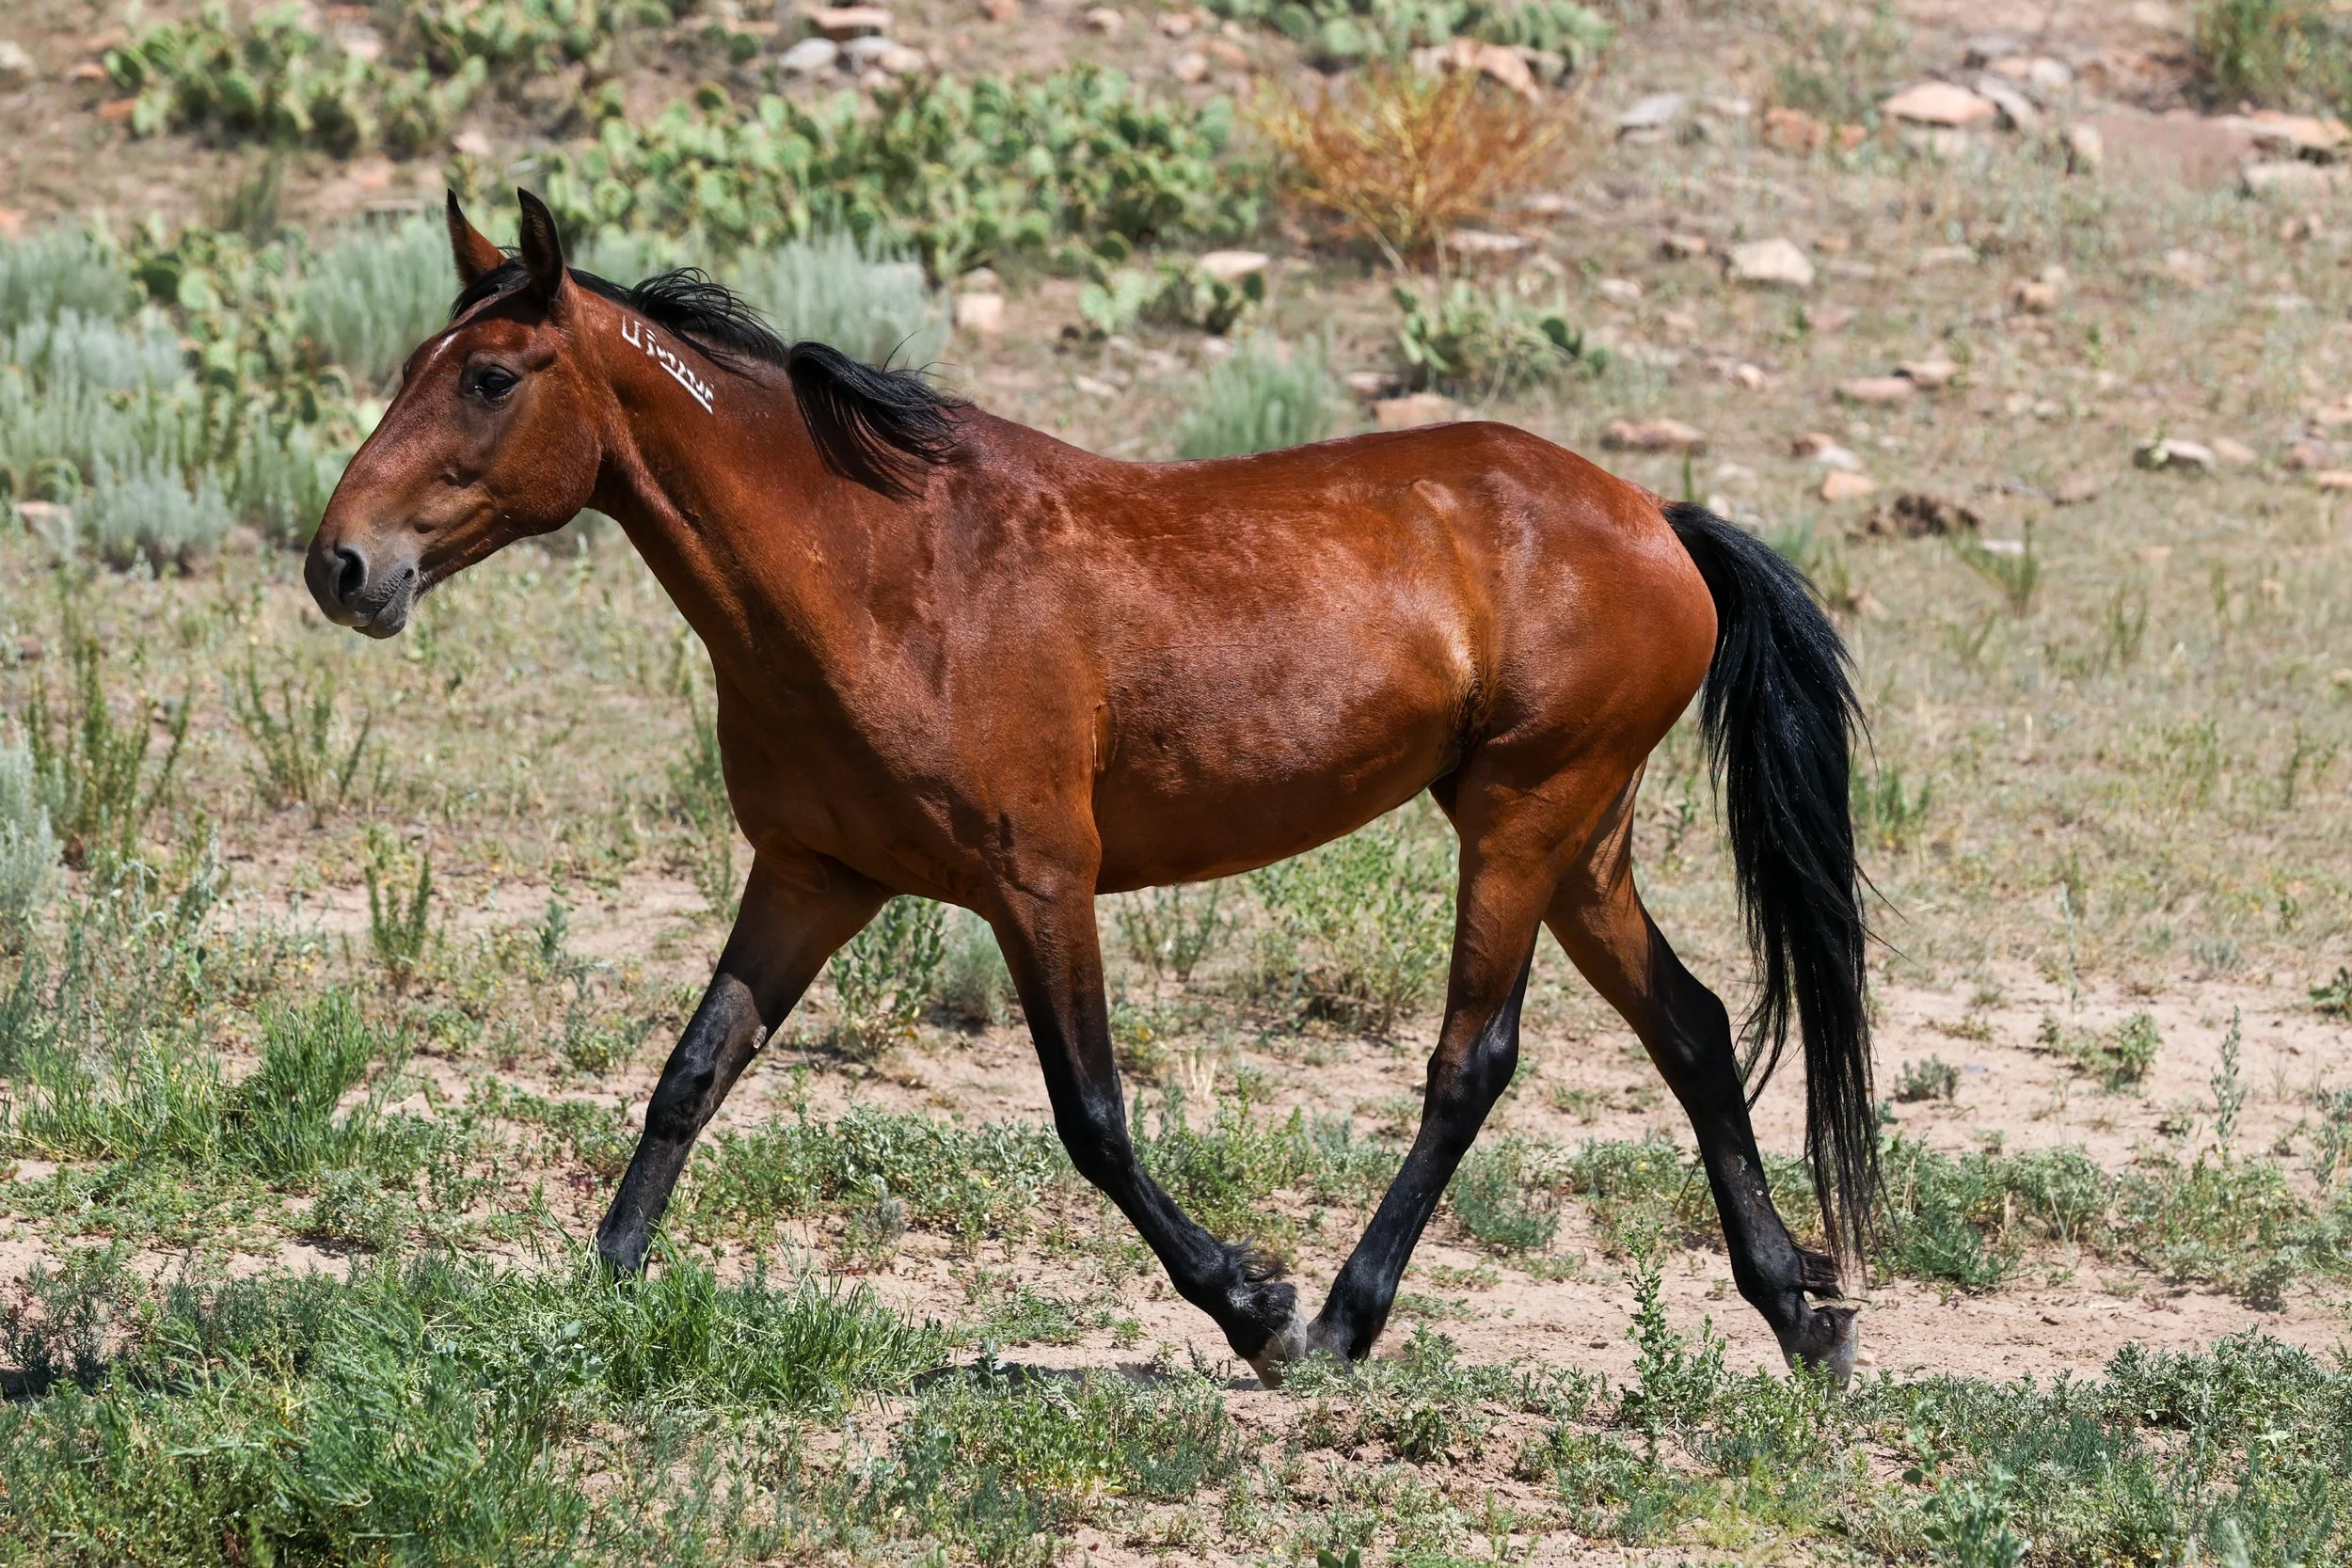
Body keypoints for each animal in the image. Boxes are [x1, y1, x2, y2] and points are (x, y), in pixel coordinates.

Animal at [306, 189, 1875, 1385]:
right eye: (413, 358)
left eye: (490, 376)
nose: (343, 564)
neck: (883, 575)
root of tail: (1656, 519)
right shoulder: (811, 873)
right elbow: (694, 1069)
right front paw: (604, 1287)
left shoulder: (1039, 879)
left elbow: (1093, 1114)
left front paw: (1253, 1303)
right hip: (1579, 838)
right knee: (1695, 1025)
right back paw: (1801, 1312)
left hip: (1521, 818)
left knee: (1470, 1060)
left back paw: (1345, 1321)